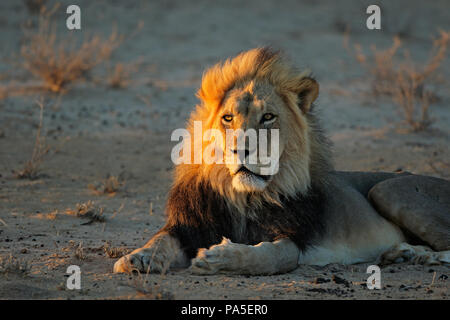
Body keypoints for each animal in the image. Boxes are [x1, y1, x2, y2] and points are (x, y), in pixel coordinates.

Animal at [112, 47, 450, 276]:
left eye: (268, 117)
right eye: (228, 118)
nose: (241, 149)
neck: (243, 198)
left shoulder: (294, 241)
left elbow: (267, 257)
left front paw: (219, 258)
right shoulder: (190, 225)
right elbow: (161, 239)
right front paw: (139, 257)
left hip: (387, 189)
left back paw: (422, 257)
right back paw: (403, 253)